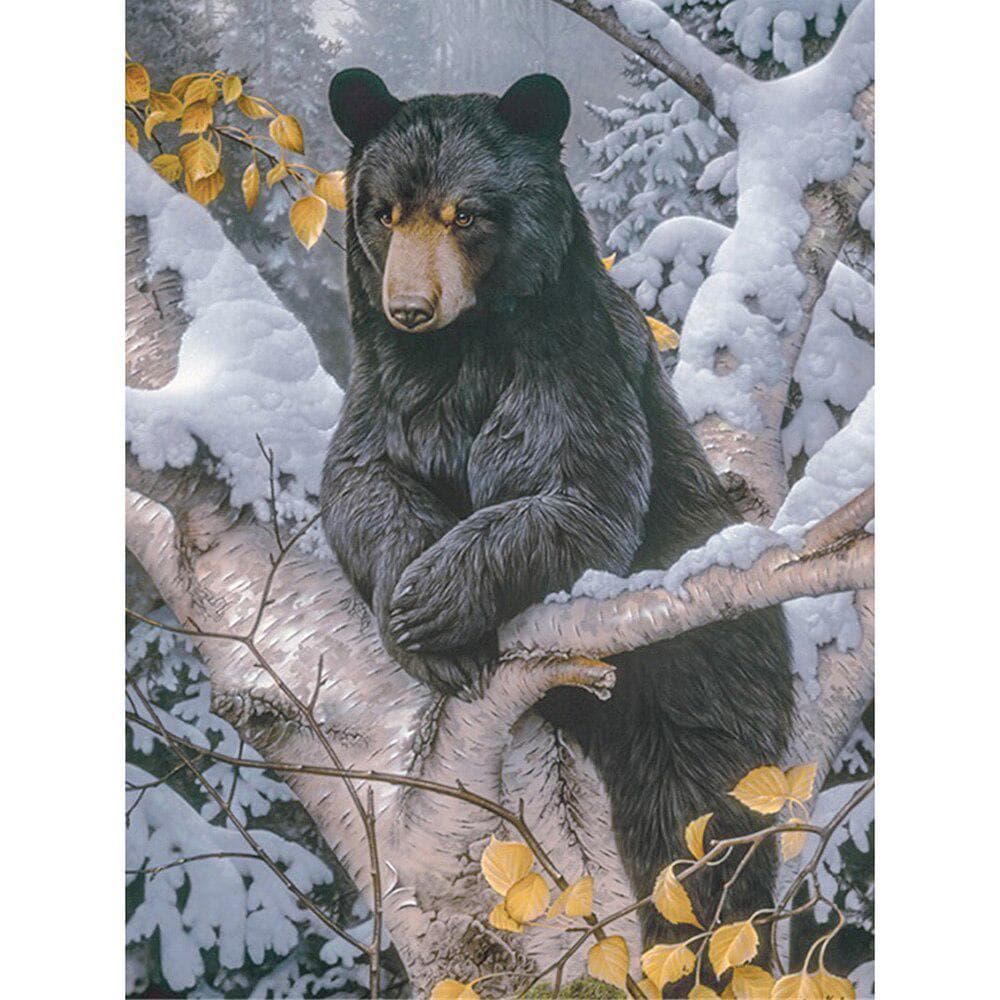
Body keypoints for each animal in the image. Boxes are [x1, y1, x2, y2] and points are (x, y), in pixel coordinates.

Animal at [320, 67, 794, 971]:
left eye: (465, 214)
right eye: (384, 212)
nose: (408, 306)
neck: (459, 349)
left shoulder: (567, 358)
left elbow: (578, 494)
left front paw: (434, 601)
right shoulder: (388, 385)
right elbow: (362, 482)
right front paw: (418, 618)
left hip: (705, 671)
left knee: (698, 827)